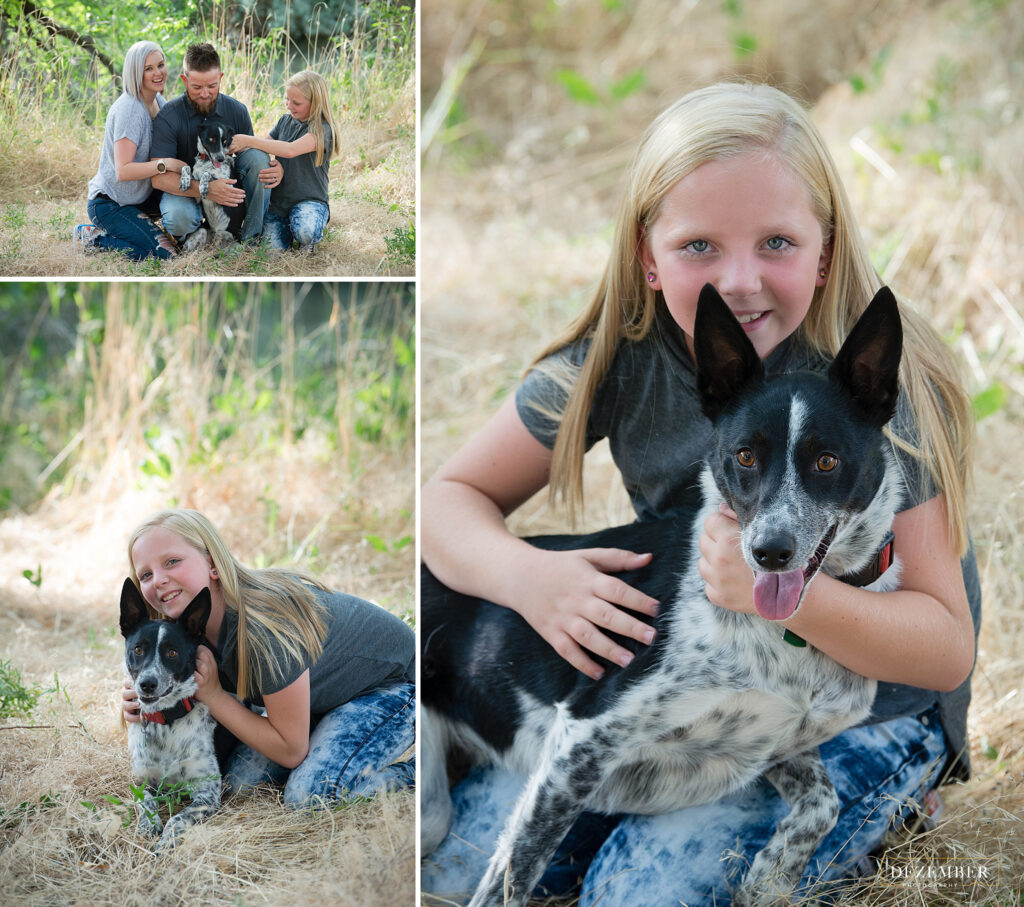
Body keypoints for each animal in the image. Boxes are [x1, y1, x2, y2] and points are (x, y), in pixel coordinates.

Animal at [120, 581, 223, 851]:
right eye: (138, 649)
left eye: (173, 653)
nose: (147, 684)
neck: (166, 721)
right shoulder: (140, 781)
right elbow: (145, 802)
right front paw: (148, 826)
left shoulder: (208, 791)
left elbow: (178, 817)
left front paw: (166, 843)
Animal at [180, 118, 237, 251]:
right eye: (211, 139)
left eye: (225, 141)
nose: (221, 159)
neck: (206, 161)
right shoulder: (196, 198)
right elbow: (185, 167)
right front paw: (185, 180)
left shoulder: (230, 188)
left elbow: (207, 173)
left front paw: (204, 186)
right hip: (201, 232)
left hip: (229, 237)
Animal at [421, 282, 905, 900]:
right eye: (744, 456)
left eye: (827, 461)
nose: (769, 551)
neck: (788, 637)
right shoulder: (580, 743)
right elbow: (513, 875)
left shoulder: (782, 743)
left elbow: (825, 803)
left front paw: (768, 879)